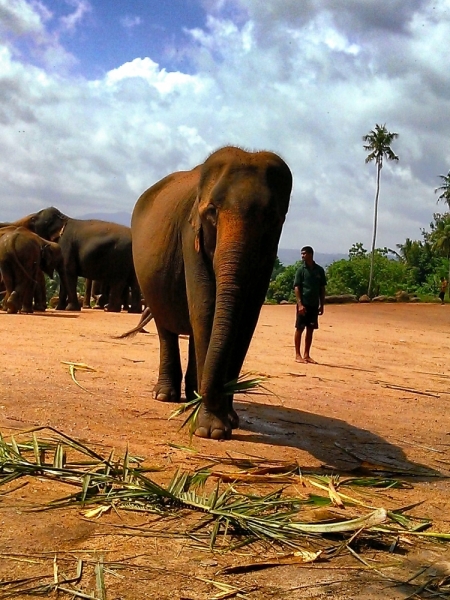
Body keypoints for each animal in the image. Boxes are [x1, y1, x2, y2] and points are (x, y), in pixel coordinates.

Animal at [131, 146, 292, 440]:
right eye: (212, 212)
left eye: (272, 218)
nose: (214, 396)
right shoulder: (189, 235)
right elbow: (205, 306)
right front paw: (212, 429)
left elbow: (247, 317)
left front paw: (226, 420)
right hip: (148, 280)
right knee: (166, 328)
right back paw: (166, 396)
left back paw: (192, 394)